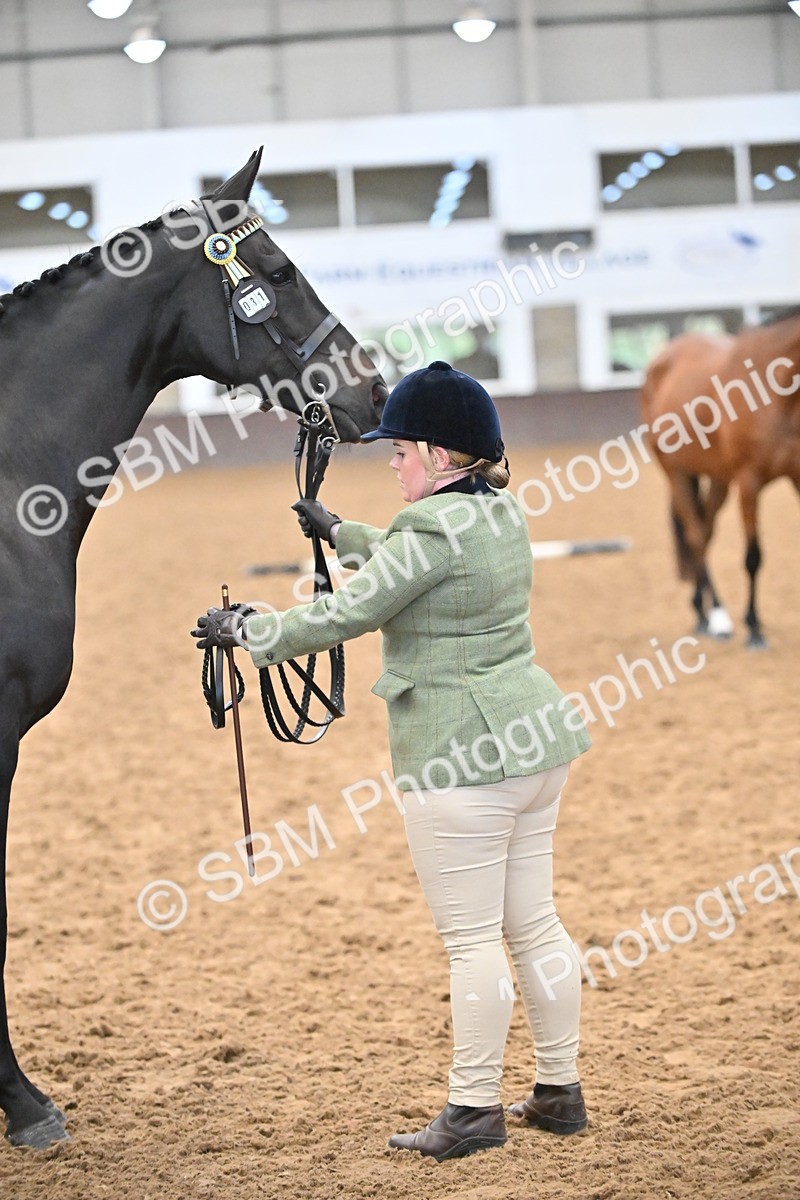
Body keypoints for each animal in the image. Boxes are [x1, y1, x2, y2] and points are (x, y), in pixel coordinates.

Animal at [640, 310, 800, 648]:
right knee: (695, 535)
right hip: (675, 473)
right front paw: (754, 627)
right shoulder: (749, 484)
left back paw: (703, 611)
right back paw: (714, 616)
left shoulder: (798, 477)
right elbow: (753, 557)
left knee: (705, 532)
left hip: (718, 479)